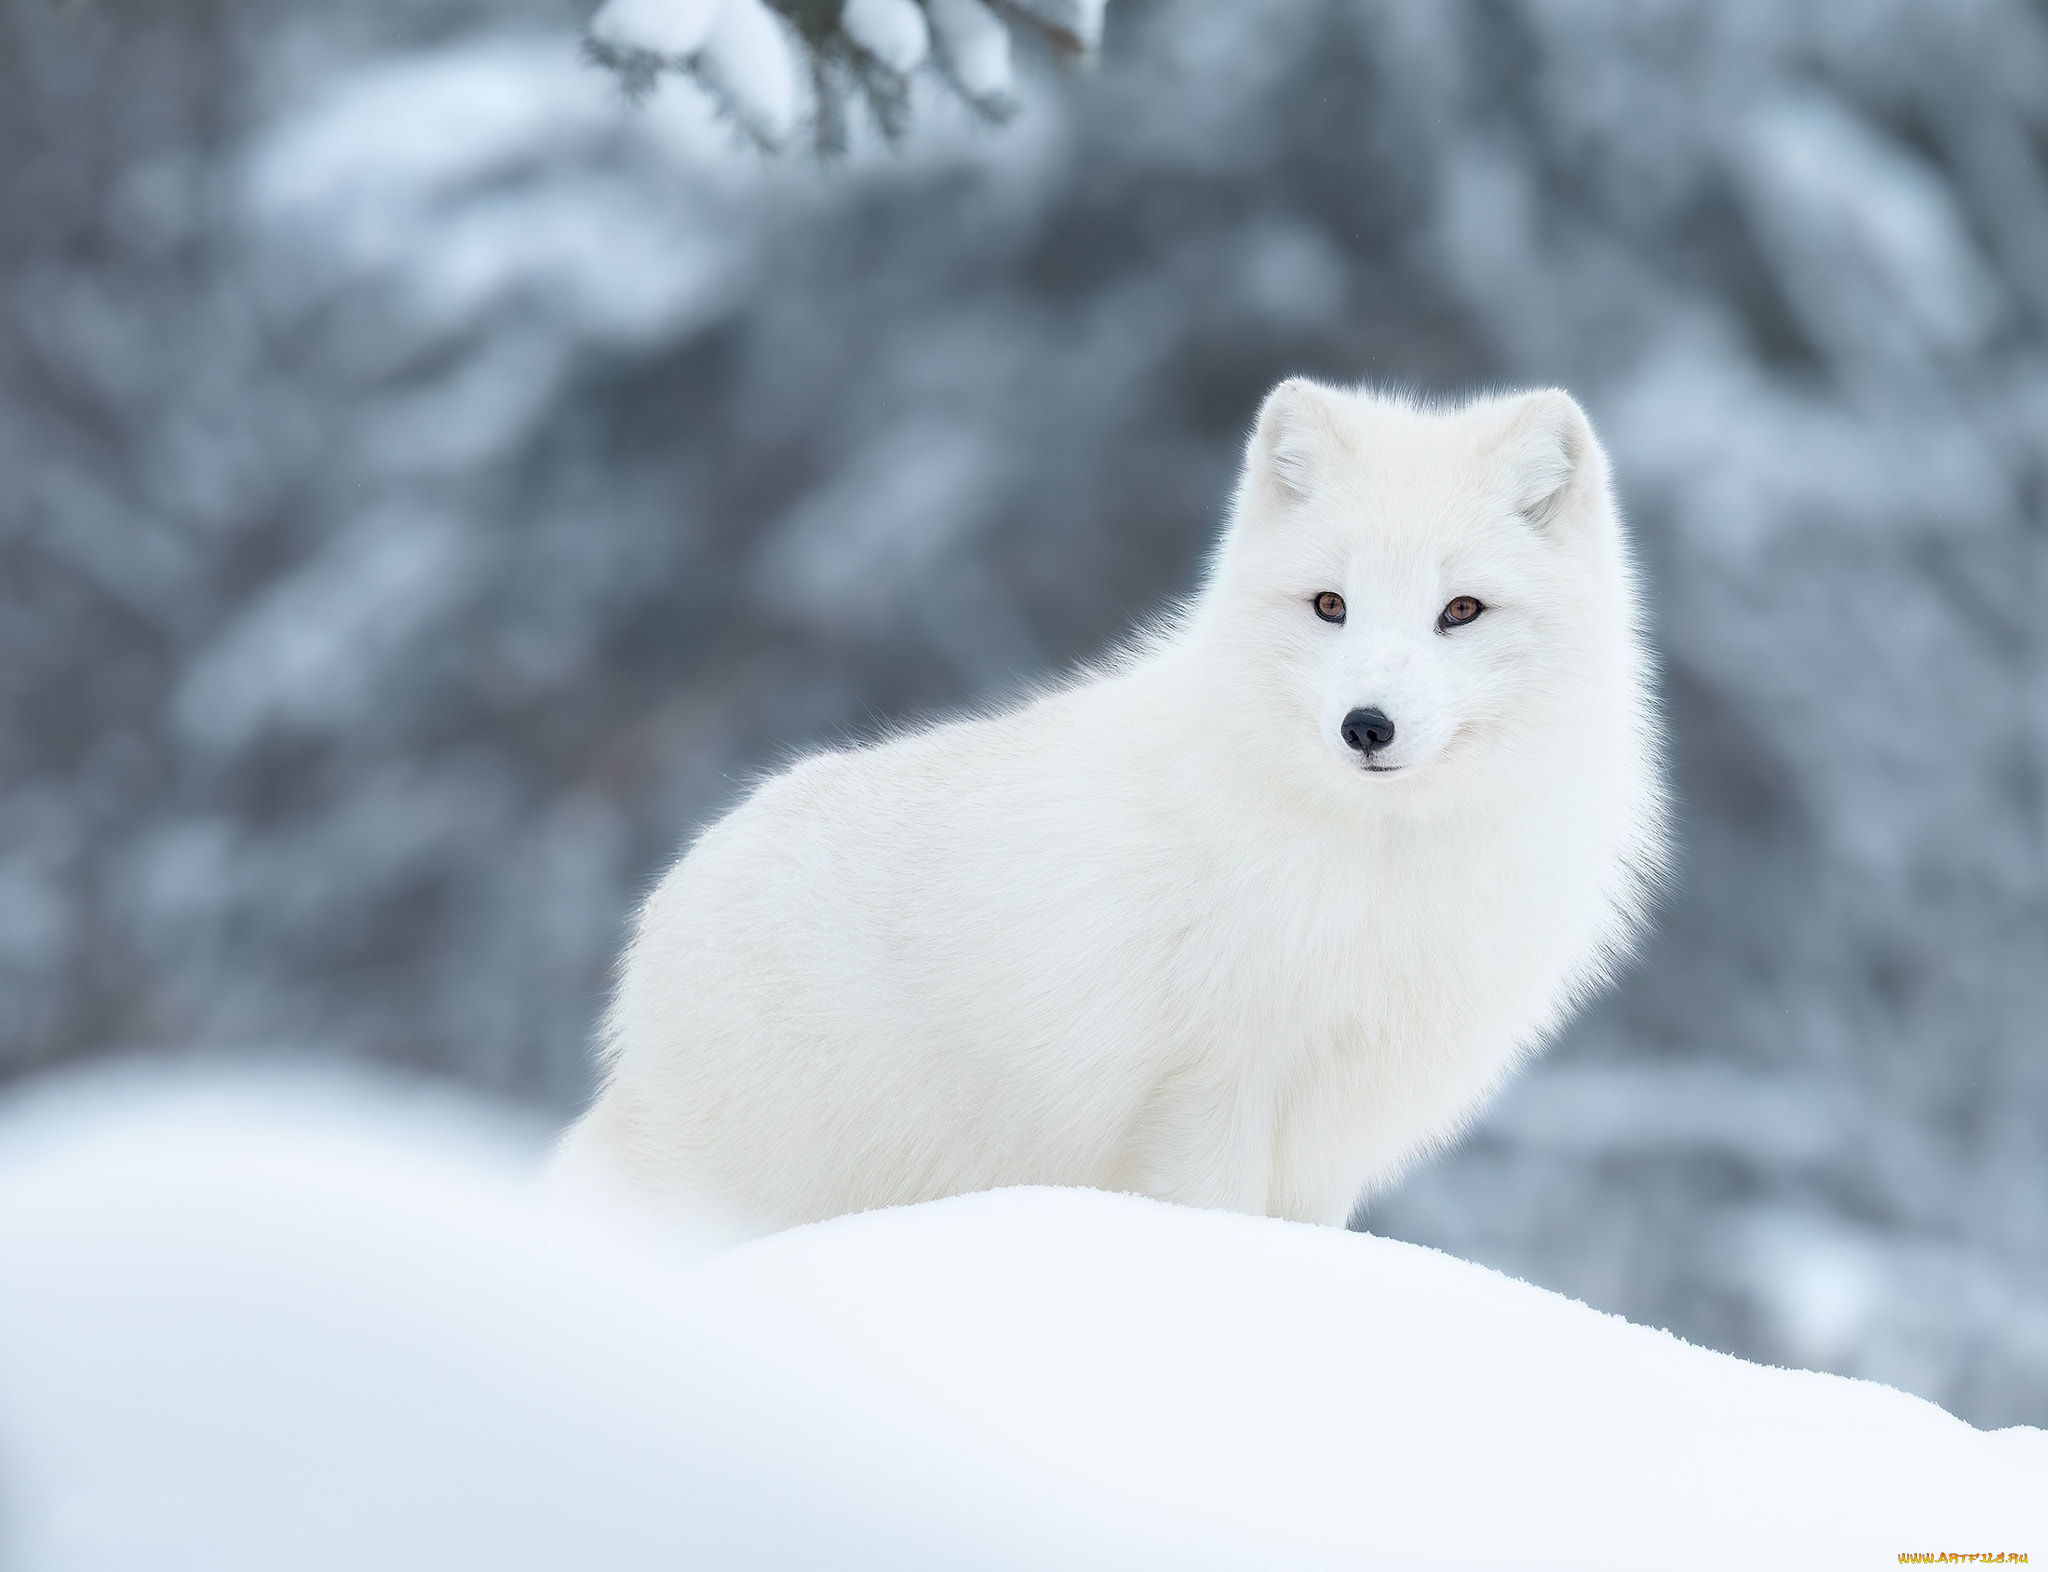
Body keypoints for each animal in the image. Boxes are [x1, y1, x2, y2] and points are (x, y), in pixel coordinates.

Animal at [557, 384, 1662, 1244]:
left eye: (1460, 611)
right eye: (1331, 606)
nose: (1365, 725)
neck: (1374, 869)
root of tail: (660, 920)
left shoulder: (1325, 1136)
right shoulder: (1208, 1093)